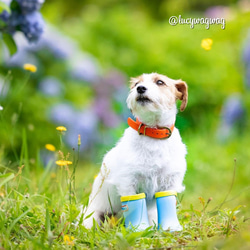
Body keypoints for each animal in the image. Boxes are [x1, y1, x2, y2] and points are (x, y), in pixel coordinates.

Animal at [82, 73, 188, 229]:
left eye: (160, 82)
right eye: (137, 83)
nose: (140, 88)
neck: (153, 134)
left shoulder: (170, 184)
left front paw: (170, 229)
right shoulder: (128, 183)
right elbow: (134, 204)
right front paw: (139, 229)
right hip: (93, 215)